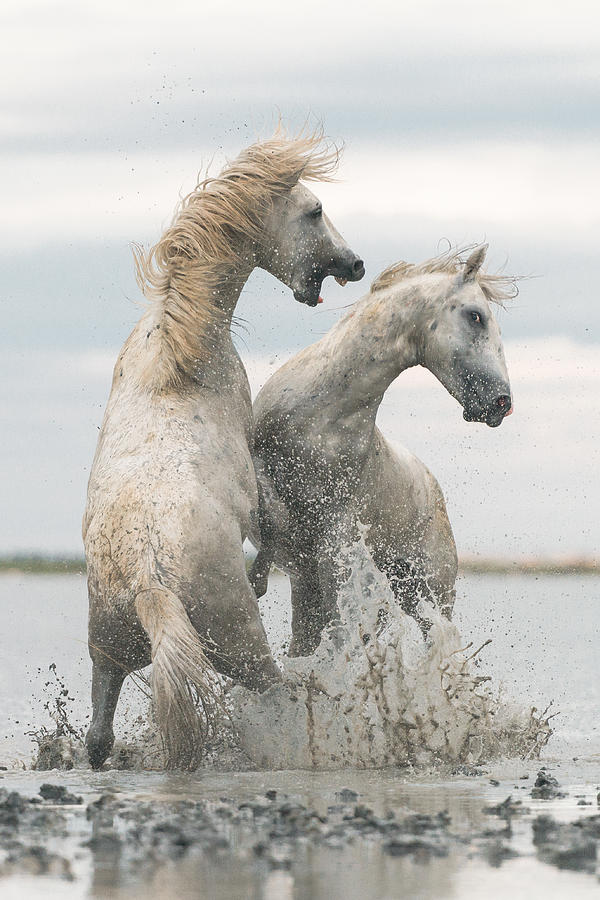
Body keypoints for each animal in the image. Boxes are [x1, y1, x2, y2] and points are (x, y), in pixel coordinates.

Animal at [82, 130, 364, 768]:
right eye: (314, 211)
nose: (354, 264)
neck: (179, 356)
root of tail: (149, 580)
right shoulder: (254, 474)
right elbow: (272, 520)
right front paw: (262, 574)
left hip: (106, 652)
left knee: (97, 736)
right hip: (243, 650)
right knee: (275, 691)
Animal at [248, 246, 516, 652]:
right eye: (476, 315)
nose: (502, 403)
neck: (321, 417)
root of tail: (433, 489)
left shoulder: (336, 537)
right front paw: (257, 577)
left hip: (427, 594)